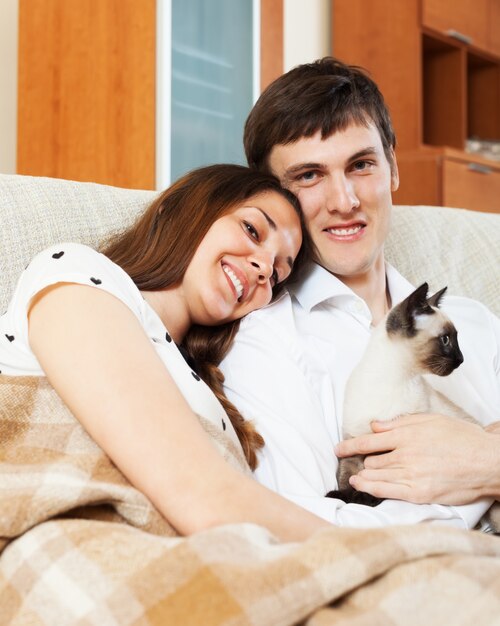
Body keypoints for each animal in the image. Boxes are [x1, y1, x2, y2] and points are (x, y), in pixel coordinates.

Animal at [326, 282, 498, 532]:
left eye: (455, 339)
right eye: (446, 340)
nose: (461, 359)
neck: (390, 381)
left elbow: (377, 487)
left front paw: (366, 499)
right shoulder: (354, 443)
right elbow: (347, 477)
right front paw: (344, 496)